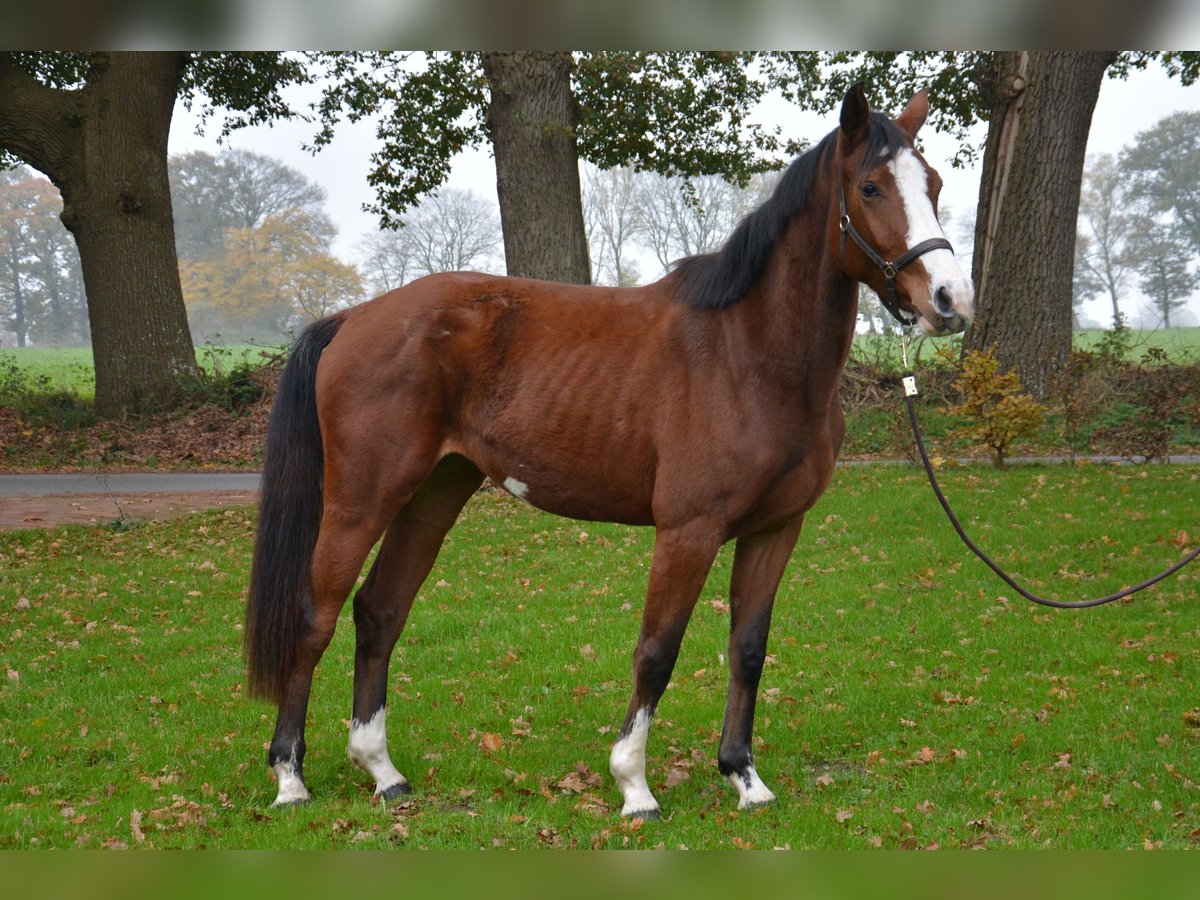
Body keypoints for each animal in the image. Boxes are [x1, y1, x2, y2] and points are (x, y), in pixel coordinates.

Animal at [243, 86, 974, 816]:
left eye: (936, 184)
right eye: (871, 187)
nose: (950, 300)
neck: (748, 355)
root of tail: (352, 318)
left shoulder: (776, 529)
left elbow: (748, 649)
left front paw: (744, 776)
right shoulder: (688, 530)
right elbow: (657, 651)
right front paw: (634, 784)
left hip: (433, 494)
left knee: (379, 612)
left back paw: (383, 771)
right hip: (360, 501)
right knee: (315, 619)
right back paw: (289, 776)